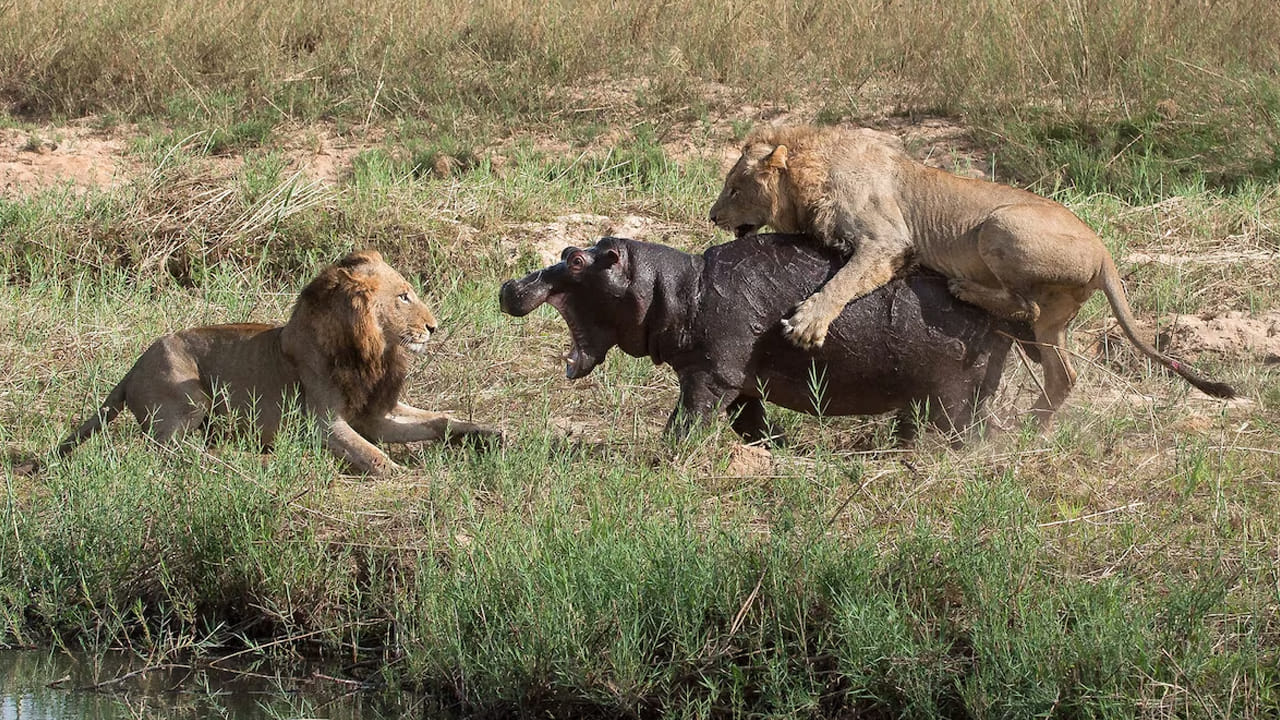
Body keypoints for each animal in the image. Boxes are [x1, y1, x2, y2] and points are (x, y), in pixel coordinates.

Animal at [53, 250, 498, 475]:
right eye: (404, 296)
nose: (434, 327)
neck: (373, 353)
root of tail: (132, 368)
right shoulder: (322, 423)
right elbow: (374, 456)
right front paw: (404, 476)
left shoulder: (374, 414)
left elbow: (437, 419)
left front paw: (485, 432)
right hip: (188, 393)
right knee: (163, 449)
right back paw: (233, 458)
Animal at [499, 234, 1033, 444]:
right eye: (570, 249)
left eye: (575, 262)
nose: (510, 286)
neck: (677, 288)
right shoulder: (737, 381)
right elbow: (751, 425)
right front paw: (777, 449)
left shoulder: (710, 375)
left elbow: (685, 421)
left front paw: (661, 459)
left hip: (951, 393)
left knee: (959, 431)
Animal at [709, 124, 1235, 423]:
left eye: (734, 187)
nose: (712, 217)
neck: (810, 169)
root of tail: (1105, 252)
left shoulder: (888, 242)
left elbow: (843, 281)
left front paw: (808, 323)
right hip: (1054, 320)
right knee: (1062, 373)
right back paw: (1032, 428)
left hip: (1000, 224)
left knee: (1023, 303)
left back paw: (964, 288)